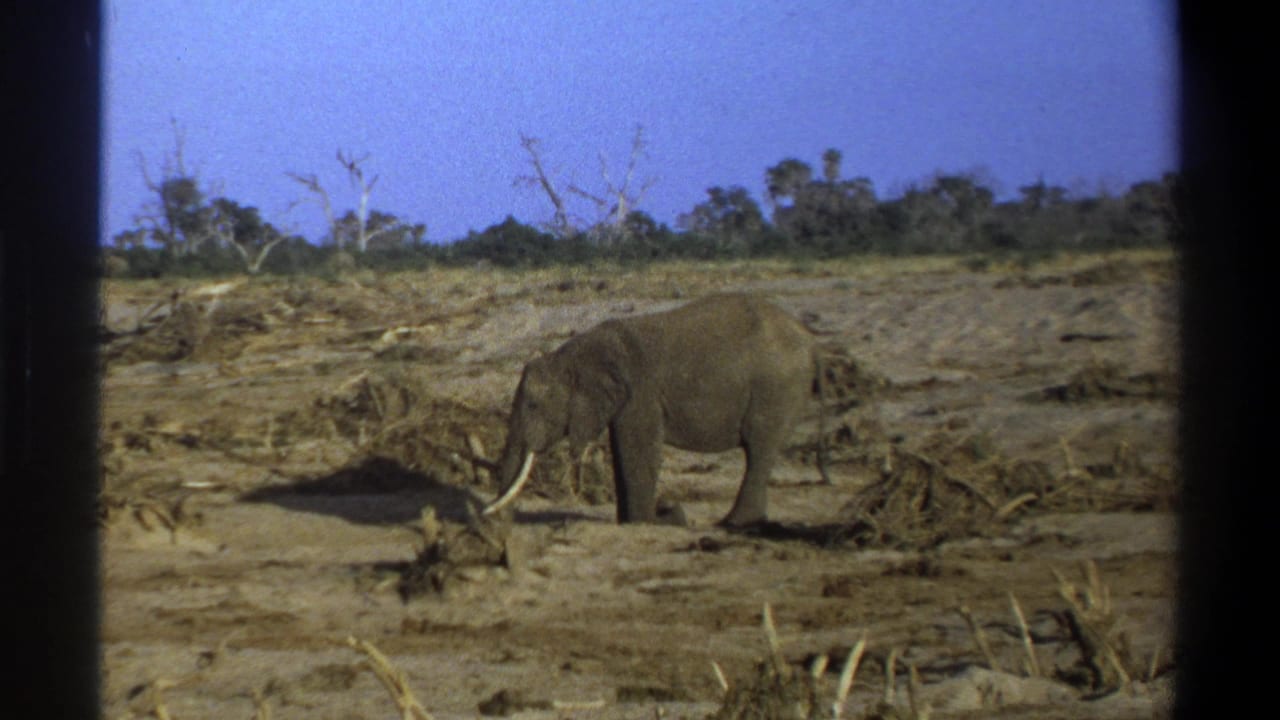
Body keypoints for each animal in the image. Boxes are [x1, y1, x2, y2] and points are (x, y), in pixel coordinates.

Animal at [482, 292, 829, 527]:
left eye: (533, 405)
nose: (497, 519)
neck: (572, 355)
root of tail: (812, 342)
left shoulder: (641, 393)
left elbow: (639, 450)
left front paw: (653, 521)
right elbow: (622, 451)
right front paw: (635, 521)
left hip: (777, 388)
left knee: (759, 448)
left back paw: (733, 523)